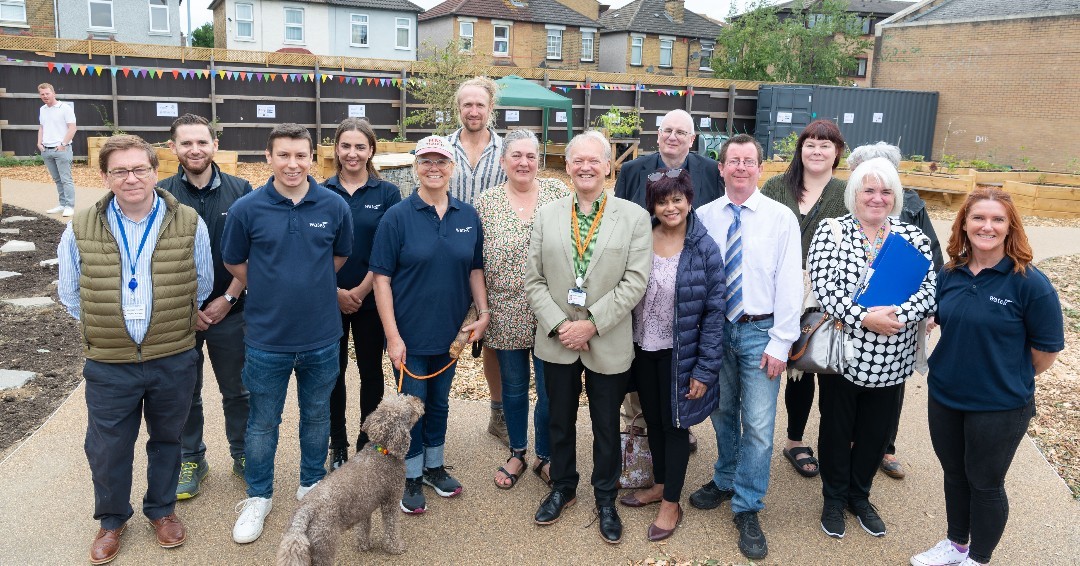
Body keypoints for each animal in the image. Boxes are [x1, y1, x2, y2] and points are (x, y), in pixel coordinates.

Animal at [276, 393, 423, 566]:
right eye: (409, 407)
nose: (419, 400)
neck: (381, 450)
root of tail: (304, 512)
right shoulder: (391, 501)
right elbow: (391, 529)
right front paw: (395, 547)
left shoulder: (364, 507)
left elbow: (363, 528)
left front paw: (364, 545)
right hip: (324, 545)